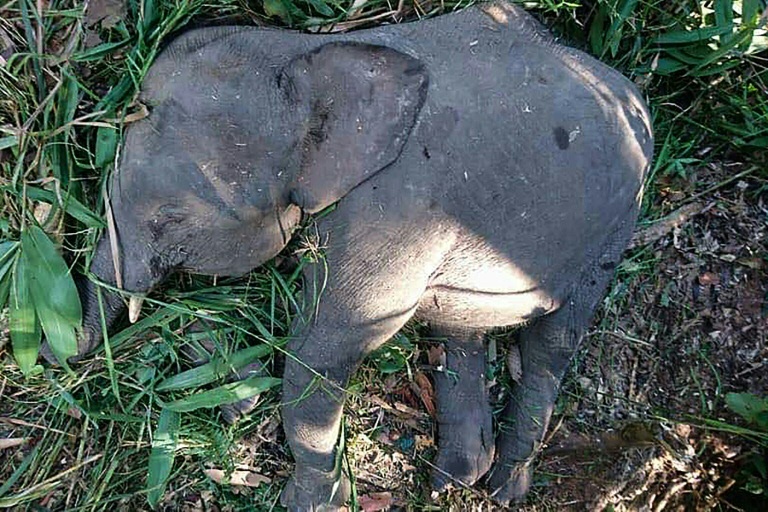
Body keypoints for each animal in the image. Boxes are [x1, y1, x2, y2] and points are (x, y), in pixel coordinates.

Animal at [61, 1, 653, 509]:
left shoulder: (398, 210)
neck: (308, 51)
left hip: (617, 222)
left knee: (552, 346)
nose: (55, 355)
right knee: (458, 330)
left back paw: (505, 486)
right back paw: (453, 480)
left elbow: (325, 346)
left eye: (171, 220)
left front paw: (311, 500)